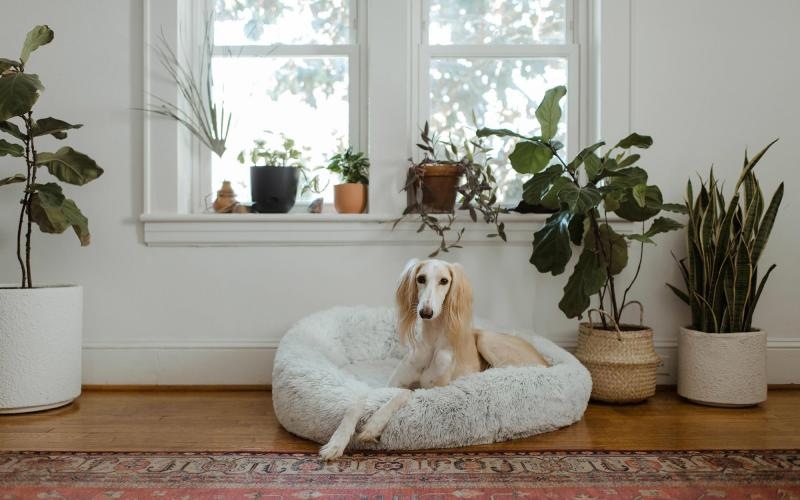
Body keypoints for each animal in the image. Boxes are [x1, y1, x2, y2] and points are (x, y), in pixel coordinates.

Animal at [318, 260, 552, 458]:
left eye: (444, 281)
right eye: (421, 278)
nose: (426, 312)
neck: (431, 343)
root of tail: (547, 362)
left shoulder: (433, 390)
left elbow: (405, 393)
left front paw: (373, 425)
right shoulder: (389, 384)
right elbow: (358, 401)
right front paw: (336, 443)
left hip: (487, 339)